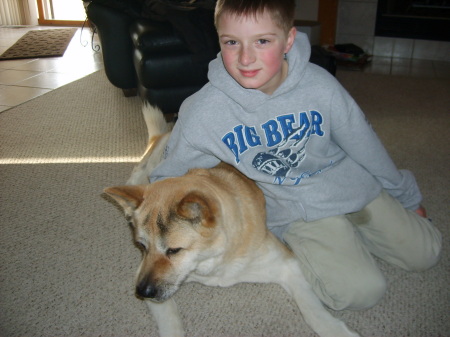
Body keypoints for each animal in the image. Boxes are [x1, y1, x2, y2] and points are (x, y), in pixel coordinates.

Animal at [103, 103, 360, 334]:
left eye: (174, 250)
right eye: (141, 246)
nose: (141, 292)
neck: (213, 260)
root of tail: (165, 132)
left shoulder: (288, 265)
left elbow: (313, 311)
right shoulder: (146, 276)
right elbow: (170, 321)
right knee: (138, 172)